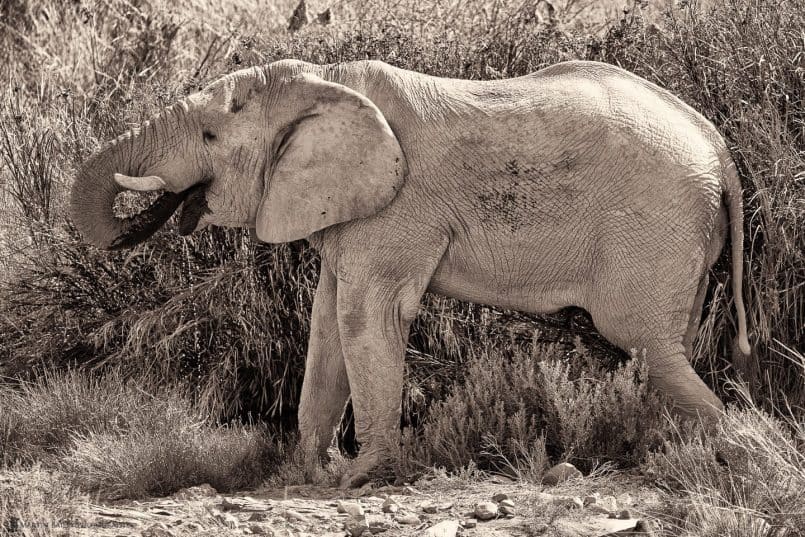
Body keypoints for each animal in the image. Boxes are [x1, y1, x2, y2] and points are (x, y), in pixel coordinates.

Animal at [69, 57, 748, 486]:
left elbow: (363, 317)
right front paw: (307, 474)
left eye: (210, 136)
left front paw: (362, 478)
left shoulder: (397, 209)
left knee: (646, 344)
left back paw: (727, 456)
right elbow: (326, 327)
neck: (323, 81)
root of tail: (719, 151)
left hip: (653, 224)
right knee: (667, 351)